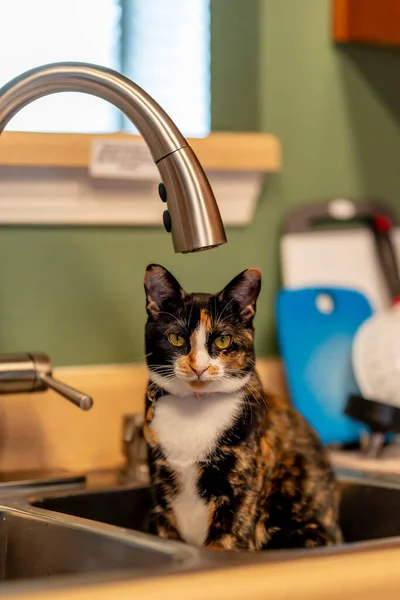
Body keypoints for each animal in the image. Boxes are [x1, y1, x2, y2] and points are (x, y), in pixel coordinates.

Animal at [142, 264, 342, 552]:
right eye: (177, 338)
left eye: (223, 340)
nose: (199, 366)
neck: (194, 406)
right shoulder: (162, 496)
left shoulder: (239, 493)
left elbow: (226, 539)